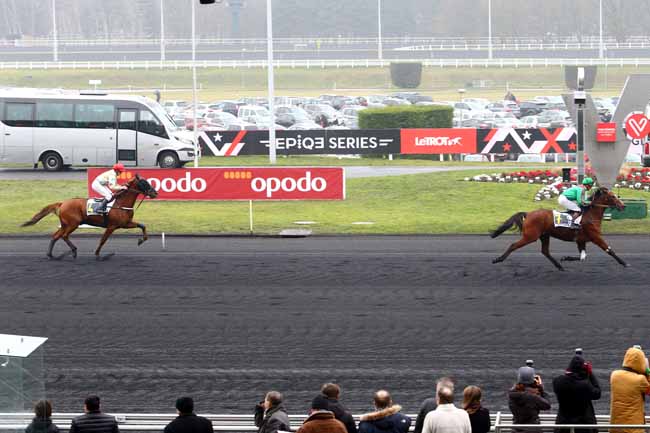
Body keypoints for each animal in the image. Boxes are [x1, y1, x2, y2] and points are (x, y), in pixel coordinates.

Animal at [21, 174, 158, 260]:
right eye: (144, 182)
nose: (155, 193)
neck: (121, 203)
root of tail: (62, 203)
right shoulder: (112, 226)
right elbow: (103, 240)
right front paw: (97, 254)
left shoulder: (125, 223)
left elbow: (142, 226)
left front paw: (141, 240)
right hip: (73, 224)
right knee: (64, 236)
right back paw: (74, 250)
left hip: (65, 224)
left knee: (56, 236)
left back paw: (50, 255)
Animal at [490, 187, 627, 271]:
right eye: (612, 196)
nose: (623, 206)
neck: (591, 215)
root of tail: (528, 214)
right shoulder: (596, 237)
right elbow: (609, 250)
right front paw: (624, 263)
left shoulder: (581, 240)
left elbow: (582, 256)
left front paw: (565, 258)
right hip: (530, 236)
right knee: (514, 245)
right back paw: (498, 259)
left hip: (544, 235)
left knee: (545, 251)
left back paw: (559, 266)